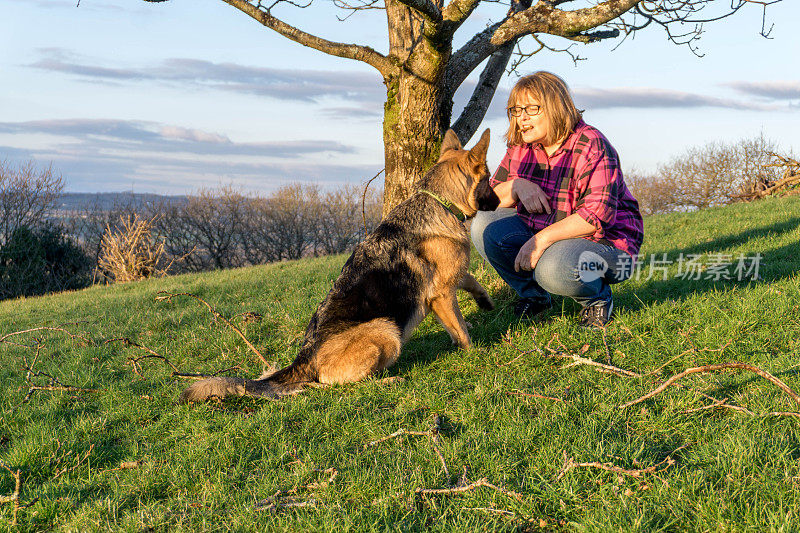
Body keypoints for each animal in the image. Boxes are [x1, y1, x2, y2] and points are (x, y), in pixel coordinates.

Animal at [180, 130, 500, 404]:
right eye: (489, 179)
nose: (500, 202)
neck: (439, 202)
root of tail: (304, 357)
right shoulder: (441, 294)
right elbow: (461, 330)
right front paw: (475, 353)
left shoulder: (448, 280)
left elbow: (469, 281)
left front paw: (484, 301)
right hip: (386, 329)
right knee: (335, 384)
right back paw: (386, 380)